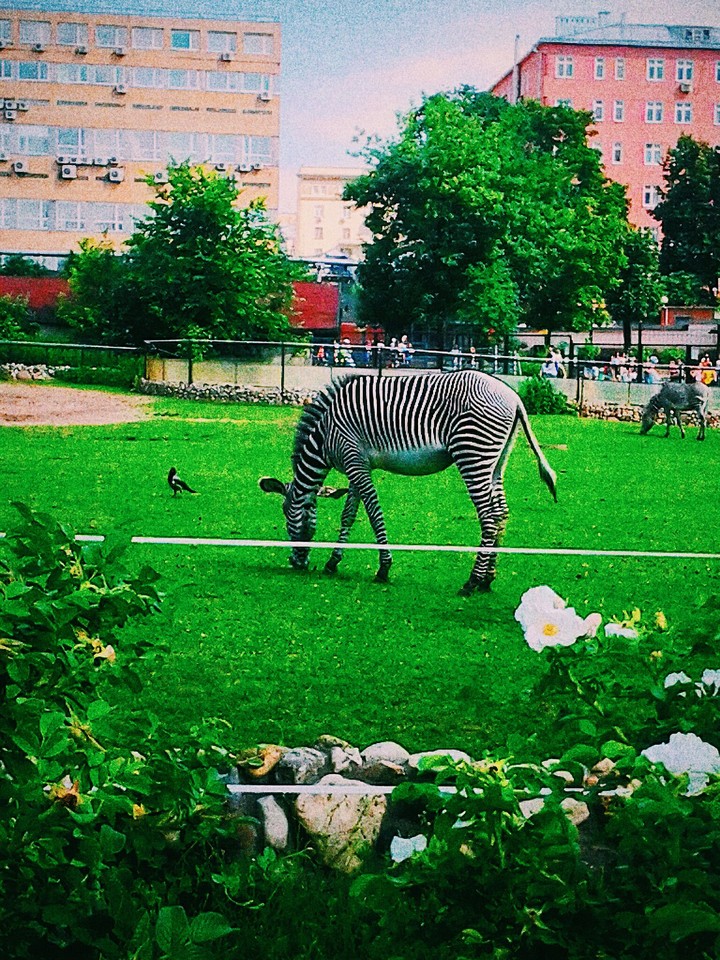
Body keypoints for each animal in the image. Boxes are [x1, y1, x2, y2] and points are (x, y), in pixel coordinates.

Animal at [259, 370, 557, 595]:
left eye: (286, 512)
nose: (297, 562)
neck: (324, 436)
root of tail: (514, 397)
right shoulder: (357, 464)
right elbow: (349, 515)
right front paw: (333, 562)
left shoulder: (355, 462)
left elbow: (373, 512)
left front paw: (383, 568)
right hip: (496, 461)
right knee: (501, 513)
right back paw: (487, 579)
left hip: (472, 453)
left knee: (488, 517)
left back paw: (471, 582)